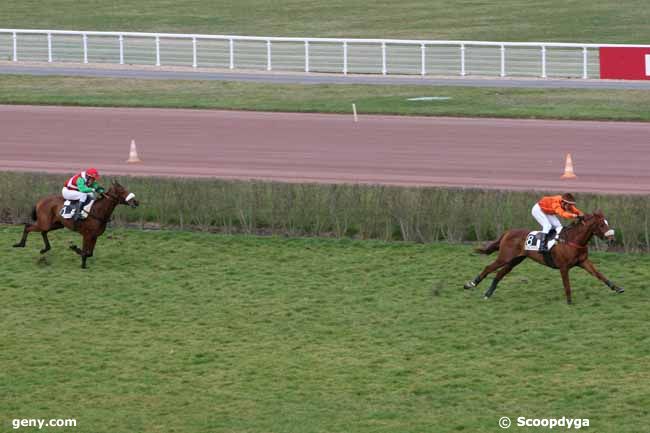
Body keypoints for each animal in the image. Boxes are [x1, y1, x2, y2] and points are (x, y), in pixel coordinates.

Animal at [464, 210, 620, 304]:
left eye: (607, 223)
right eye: (601, 225)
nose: (612, 238)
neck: (572, 240)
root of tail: (507, 232)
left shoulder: (583, 262)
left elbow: (599, 274)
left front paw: (617, 288)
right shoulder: (563, 267)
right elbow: (567, 284)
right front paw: (569, 301)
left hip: (515, 260)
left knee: (499, 273)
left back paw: (488, 293)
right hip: (505, 257)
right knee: (488, 268)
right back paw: (470, 284)